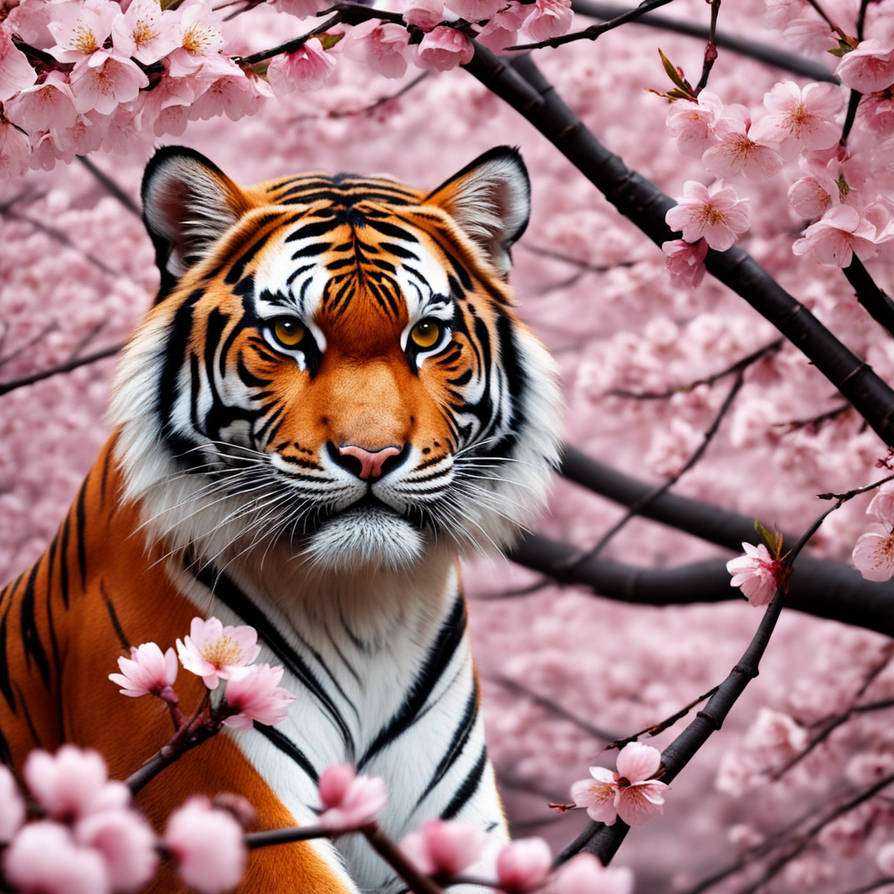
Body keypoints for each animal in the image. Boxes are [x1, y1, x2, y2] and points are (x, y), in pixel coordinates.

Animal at [0, 145, 562, 892]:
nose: (371, 454)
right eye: (290, 332)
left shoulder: (458, 827)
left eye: (427, 334)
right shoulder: (210, 782)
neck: (364, 604)